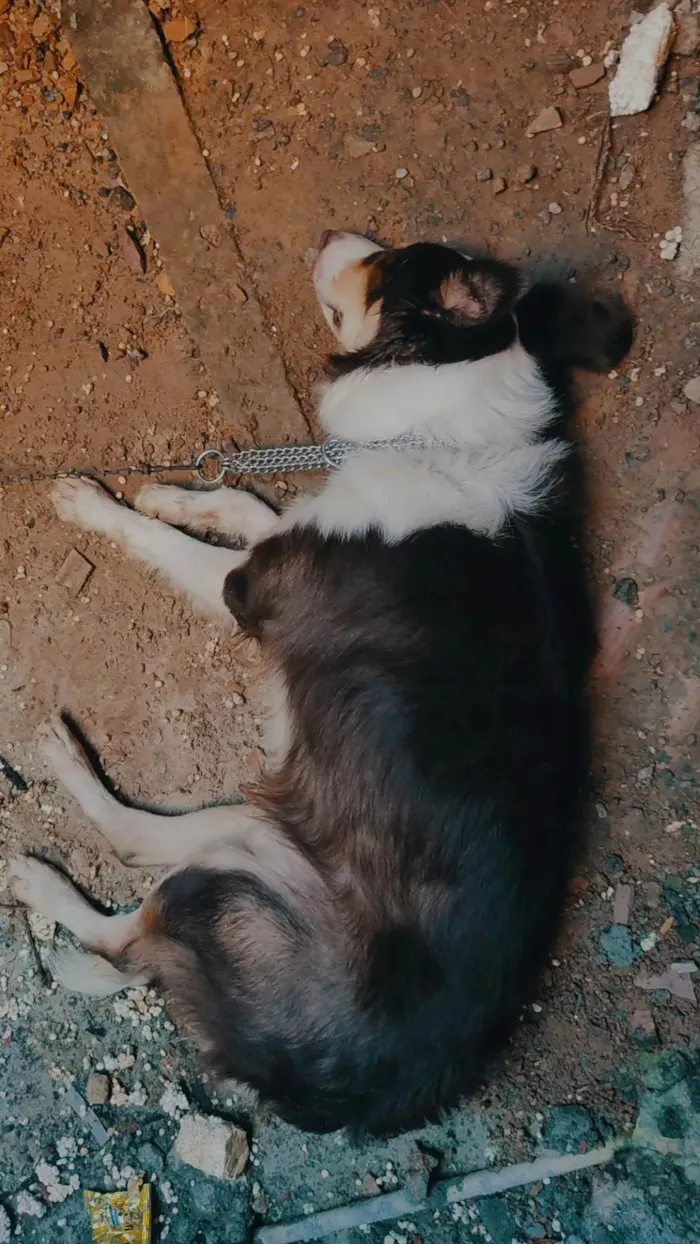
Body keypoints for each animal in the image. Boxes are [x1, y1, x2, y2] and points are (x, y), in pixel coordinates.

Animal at [8, 233, 636, 1139]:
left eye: (390, 261)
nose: (333, 239)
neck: (437, 428)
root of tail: (340, 1095)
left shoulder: (249, 589)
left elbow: (166, 542)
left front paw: (98, 504)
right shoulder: (294, 532)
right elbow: (242, 504)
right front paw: (174, 488)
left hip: (230, 882)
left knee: (124, 913)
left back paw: (45, 842)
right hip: (253, 834)